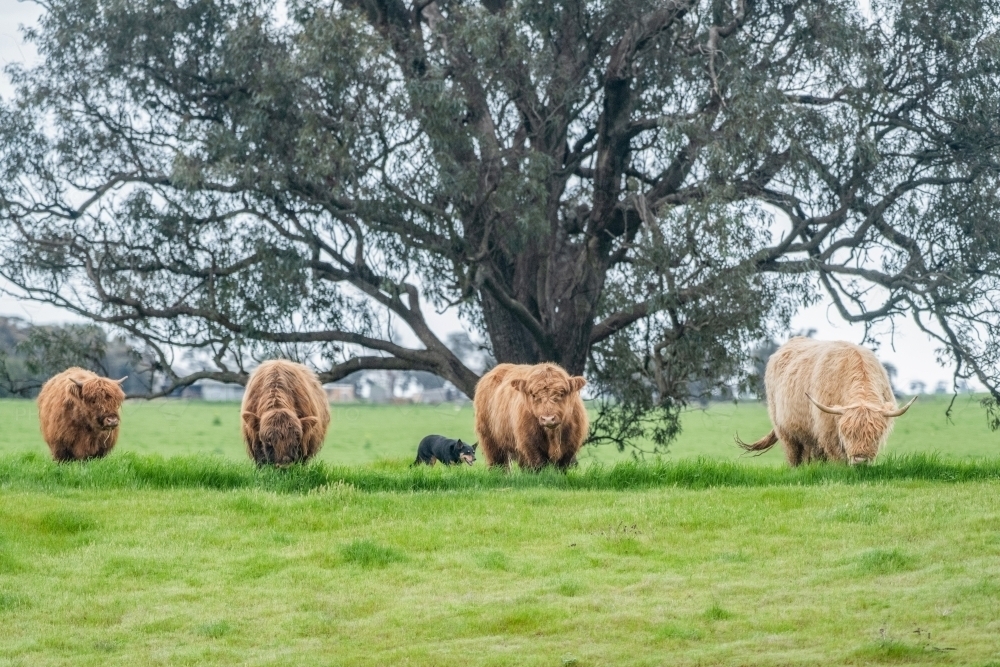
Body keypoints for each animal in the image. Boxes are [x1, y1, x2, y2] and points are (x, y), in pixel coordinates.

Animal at [736, 336, 916, 468]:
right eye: (847, 433)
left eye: (875, 434)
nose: (860, 461)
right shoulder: (827, 432)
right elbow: (837, 457)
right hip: (784, 430)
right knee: (793, 455)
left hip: (808, 436)